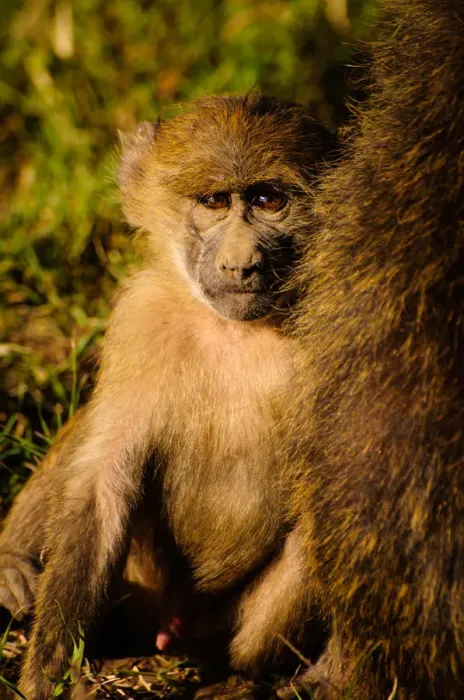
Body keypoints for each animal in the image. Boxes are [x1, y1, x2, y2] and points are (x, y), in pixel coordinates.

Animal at [0, 93, 337, 698]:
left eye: (268, 200)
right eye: (214, 201)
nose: (240, 265)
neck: (238, 331)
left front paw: (333, 675)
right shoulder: (140, 317)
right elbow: (102, 484)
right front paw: (48, 675)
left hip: (232, 625)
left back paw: (237, 679)